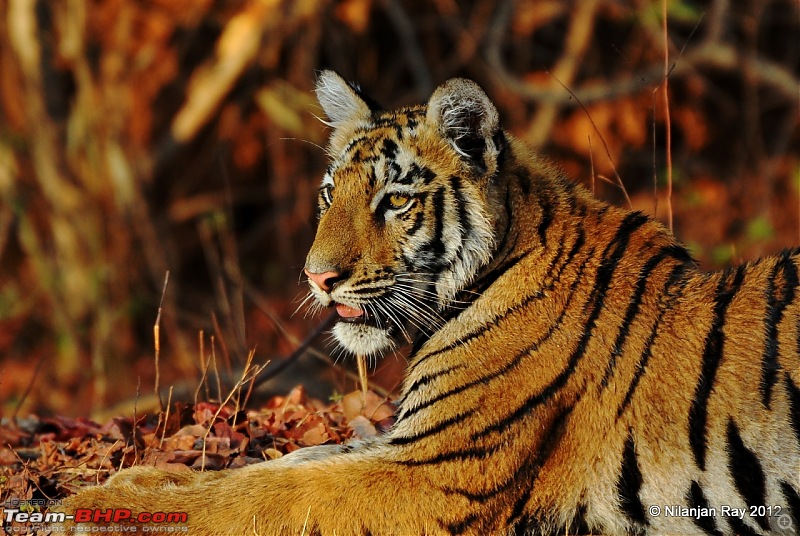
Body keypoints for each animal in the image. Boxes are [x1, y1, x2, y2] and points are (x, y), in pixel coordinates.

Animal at [61, 72, 800, 536]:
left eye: (395, 201)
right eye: (330, 194)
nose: (317, 278)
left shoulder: (435, 471)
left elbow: (272, 493)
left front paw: (93, 506)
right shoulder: (406, 440)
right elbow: (285, 463)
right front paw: (140, 480)